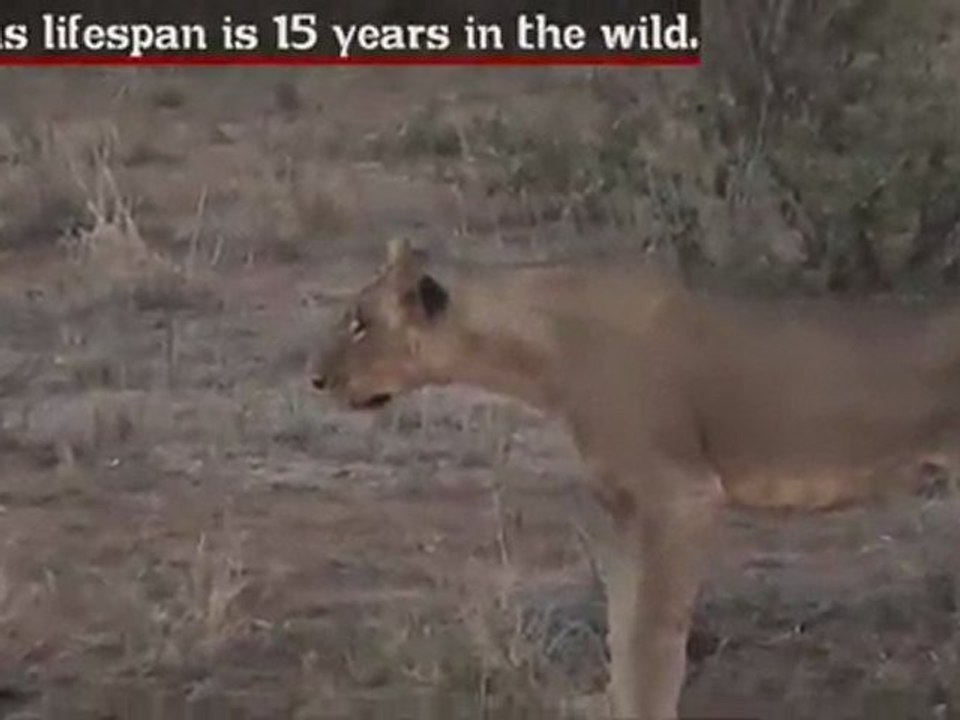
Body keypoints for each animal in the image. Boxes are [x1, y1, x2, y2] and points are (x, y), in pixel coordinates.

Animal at [309, 238, 960, 719]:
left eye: (360, 323)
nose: (314, 378)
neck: (541, 349)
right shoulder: (623, 507)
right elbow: (622, 631)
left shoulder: (680, 496)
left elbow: (652, 640)